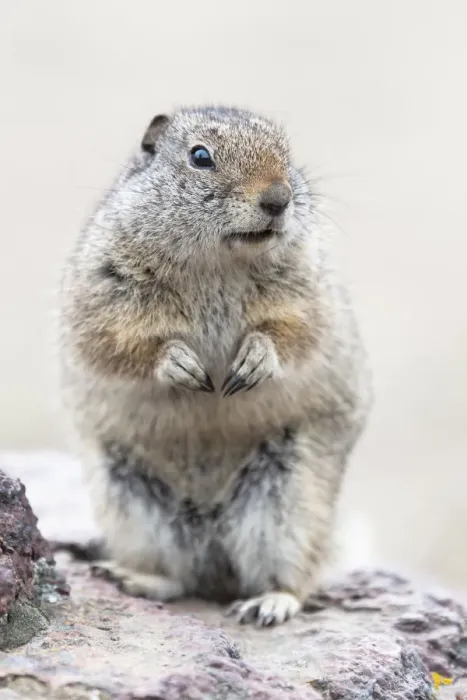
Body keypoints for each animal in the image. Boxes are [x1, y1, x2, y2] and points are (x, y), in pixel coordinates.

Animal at [59, 106, 372, 626]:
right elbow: (119, 342)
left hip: (290, 502)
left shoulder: (308, 294)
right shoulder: (102, 294)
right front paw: (181, 365)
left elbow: (294, 331)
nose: (278, 198)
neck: (218, 263)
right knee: (180, 578)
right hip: (131, 503)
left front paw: (254, 361)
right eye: (200, 156)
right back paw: (131, 578)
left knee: (290, 577)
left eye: (287, 152)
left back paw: (269, 603)